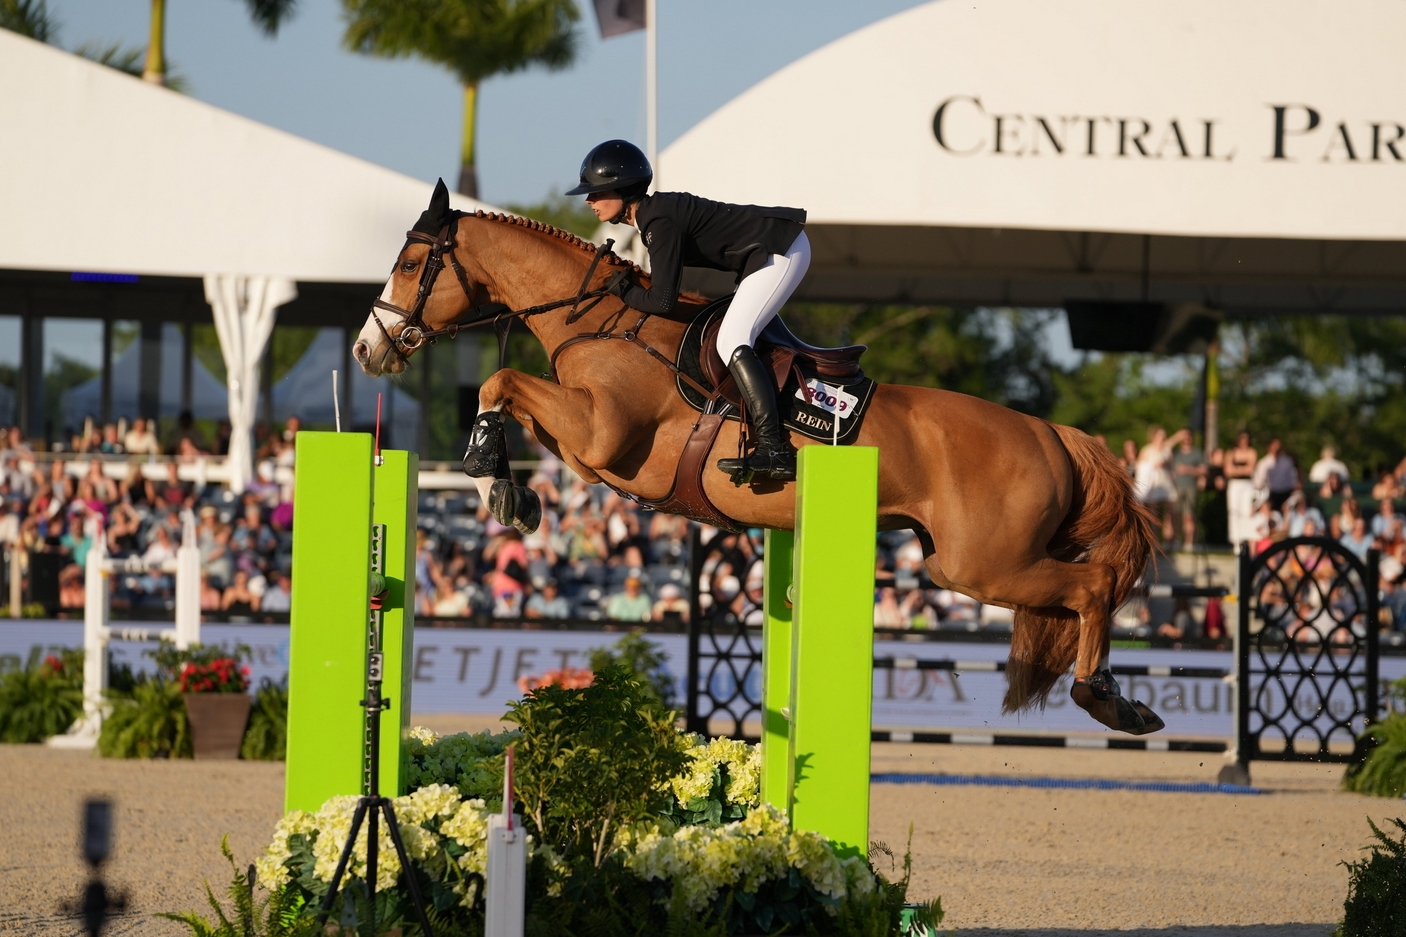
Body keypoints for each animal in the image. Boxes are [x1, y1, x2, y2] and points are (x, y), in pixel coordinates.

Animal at [354, 189, 1164, 731]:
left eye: (412, 262)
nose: (367, 349)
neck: (602, 319)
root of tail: (1052, 432)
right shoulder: (585, 446)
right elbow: (512, 397)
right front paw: (510, 490)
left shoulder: (602, 435)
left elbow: (503, 383)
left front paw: (491, 476)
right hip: (963, 562)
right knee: (1080, 595)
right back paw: (1119, 699)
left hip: (982, 565)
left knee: (1093, 586)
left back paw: (1108, 701)